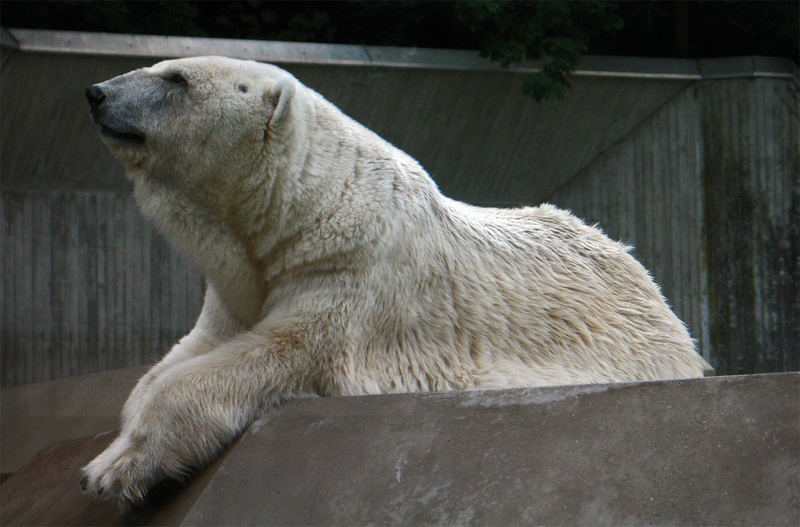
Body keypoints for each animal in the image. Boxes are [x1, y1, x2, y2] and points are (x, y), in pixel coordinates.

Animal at [81, 55, 708, 506]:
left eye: (176, 79)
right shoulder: (239, 289)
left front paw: (115, 470)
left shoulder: (353, 271)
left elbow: (275, 353)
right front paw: (115, 445)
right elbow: (179, 358)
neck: (304, 207)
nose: (97, 93)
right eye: (166, 67)